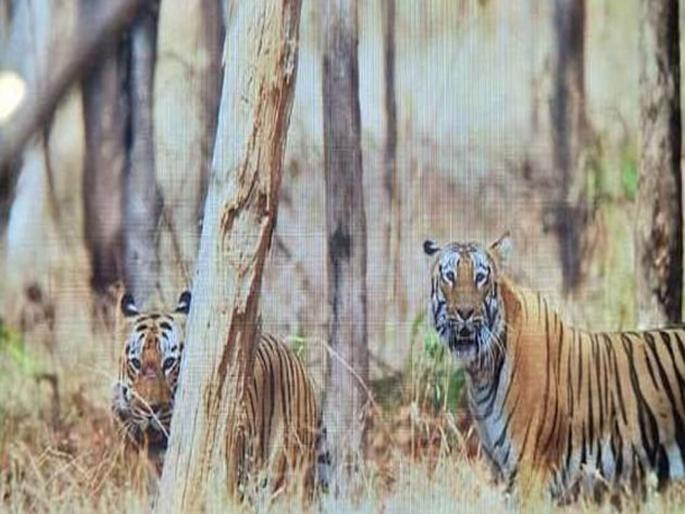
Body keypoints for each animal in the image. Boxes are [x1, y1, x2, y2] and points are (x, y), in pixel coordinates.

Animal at [424, 232, 685, 503]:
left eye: (480, 277)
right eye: (450, 276)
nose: (465, 312)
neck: (481, 371)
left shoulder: (531, 474)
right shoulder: (503, 474)